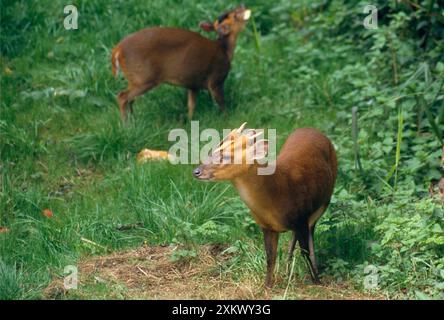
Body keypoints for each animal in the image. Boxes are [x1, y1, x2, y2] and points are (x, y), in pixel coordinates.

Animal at [110, 6, 251, 121]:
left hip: (134, 79)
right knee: (122, 97)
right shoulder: (216, 79)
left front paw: (189, 122)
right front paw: (228, 119)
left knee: (130, 99)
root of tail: (118, 49)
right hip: (144, 78)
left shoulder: (193, 85)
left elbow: (191, 105)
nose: (242, 6)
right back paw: (126, 126)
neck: (225, 50)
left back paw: (134, 122)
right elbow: (221, 103)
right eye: (234, 15)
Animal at [193, 123, 338, 288]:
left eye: (227, 156)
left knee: (310, 235)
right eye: (212, 150)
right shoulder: (266, 226)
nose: (196, 171)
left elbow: (305, 251)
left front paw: (316, 281)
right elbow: (270, 257)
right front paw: (267, 285)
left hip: (324, 200)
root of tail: (312, 129)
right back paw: (287, 269)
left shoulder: (302, 216)